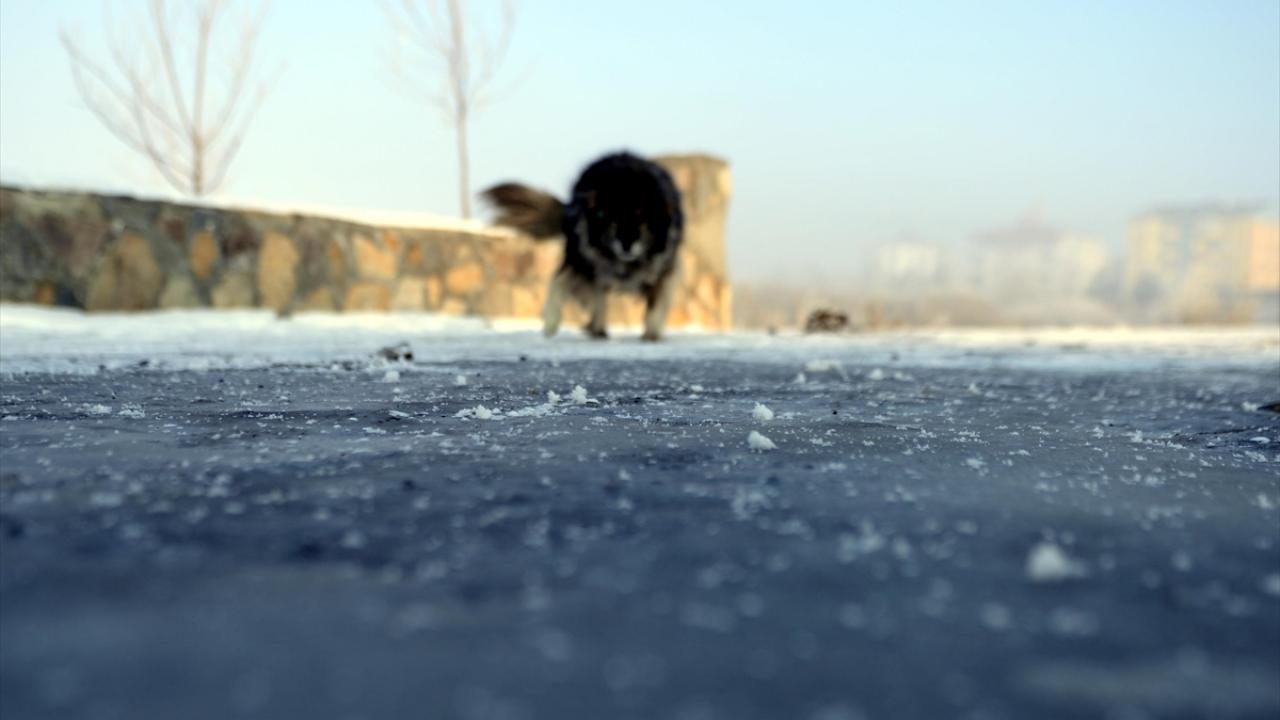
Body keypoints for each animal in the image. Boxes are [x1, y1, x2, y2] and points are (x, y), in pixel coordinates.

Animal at [481, 152, 683, 341]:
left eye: (643, 224)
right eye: (613, 223)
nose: (627, 245)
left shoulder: (662, 267)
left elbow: (656, 304)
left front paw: (652, 333)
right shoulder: (583, 258)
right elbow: (560, 284)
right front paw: (551, 323)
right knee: (595, 296)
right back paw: (596, 329)